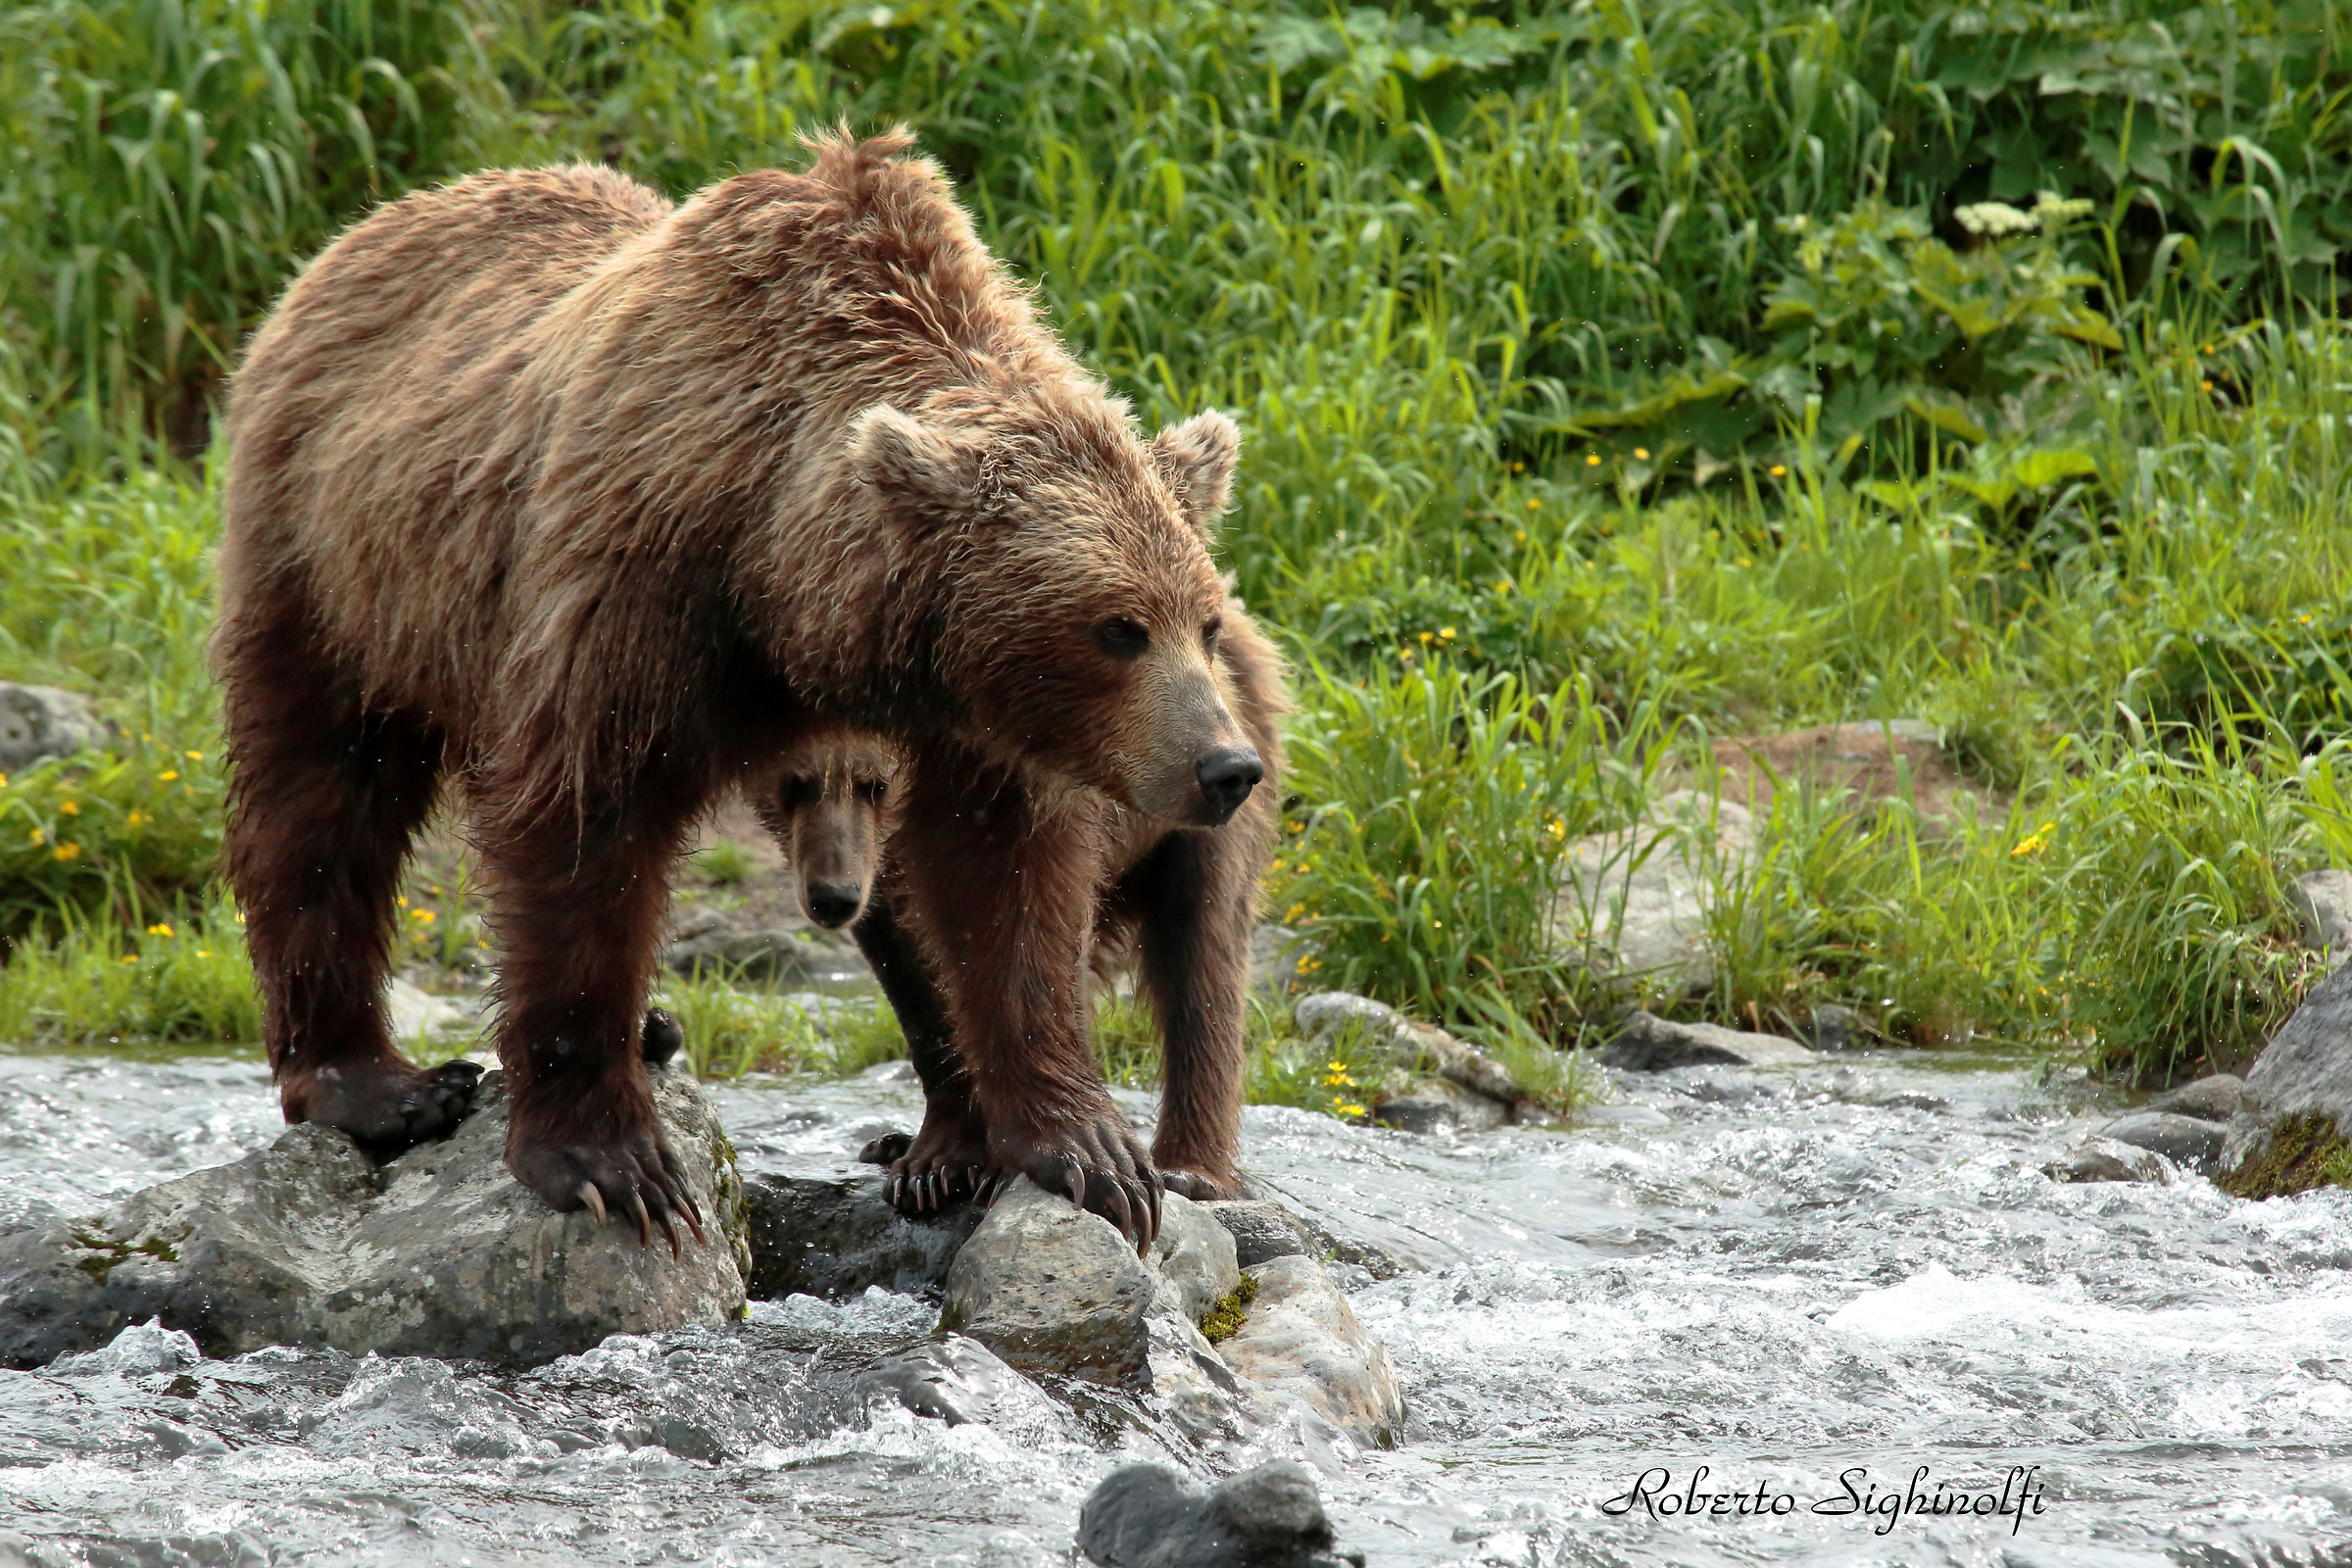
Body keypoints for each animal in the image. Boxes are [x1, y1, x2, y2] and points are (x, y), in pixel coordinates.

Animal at [770, 598, 1287, 1213]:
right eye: (793, 785)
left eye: (875, 785)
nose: (833, 896)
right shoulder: (888, 891)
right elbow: (921, 985)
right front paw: (931, 1163)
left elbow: (1033, 951)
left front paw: (993, 1163)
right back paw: (888, 1143)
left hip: (1207, 796)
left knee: (1202, 956)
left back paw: (1192, 1169)